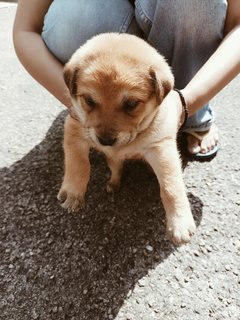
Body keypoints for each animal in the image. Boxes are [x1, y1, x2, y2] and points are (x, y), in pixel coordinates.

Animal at [57, 32, 196, 244]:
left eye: (131, 104)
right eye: (89, 100)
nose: (105, 141)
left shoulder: (161, 147)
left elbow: (171, 186)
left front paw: (179, 222)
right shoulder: (74, 128)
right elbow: (78, 164)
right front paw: (72, 193)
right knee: (116, 167)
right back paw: (113, 183)